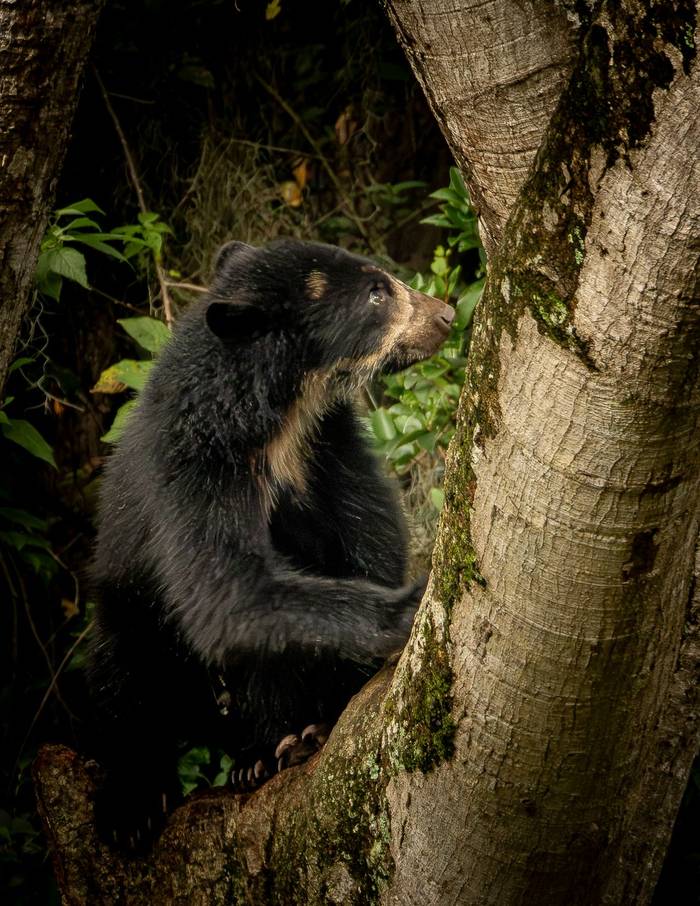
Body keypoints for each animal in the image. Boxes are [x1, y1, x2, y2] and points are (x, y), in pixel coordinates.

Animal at [87, 238, 455, 849]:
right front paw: (409, 606)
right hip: (127, 611)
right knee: (127, 683)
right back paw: (145, 802)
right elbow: (226, 593)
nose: (446, 315)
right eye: (376, 293)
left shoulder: (327, 449)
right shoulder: (191, 469)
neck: (280, 416)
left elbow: (371, 540)